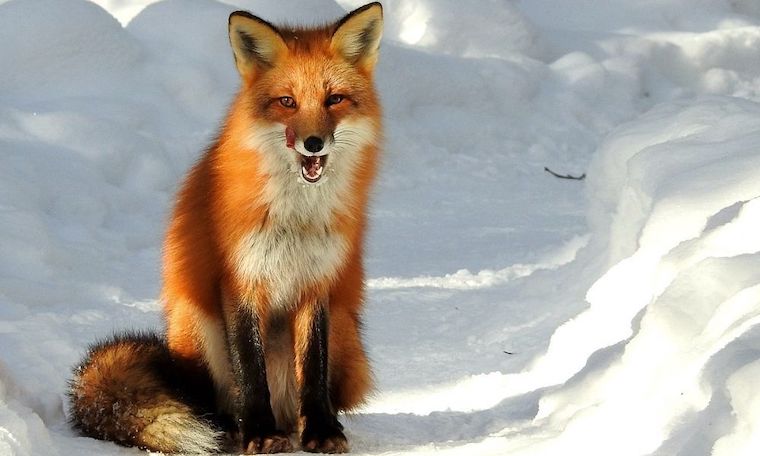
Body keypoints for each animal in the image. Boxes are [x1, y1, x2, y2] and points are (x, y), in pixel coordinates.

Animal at [67, 3, 383, 454]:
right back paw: (230, 428)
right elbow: (250, 370)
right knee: (212, 400)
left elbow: (313, 368)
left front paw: (321, 430)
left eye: (334, 99)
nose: (313, 143)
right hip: (198, 325)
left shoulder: (316, 283)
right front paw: (259, 432)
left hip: (344, 330)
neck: (295, 217)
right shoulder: (240, 279)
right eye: (287, 102)